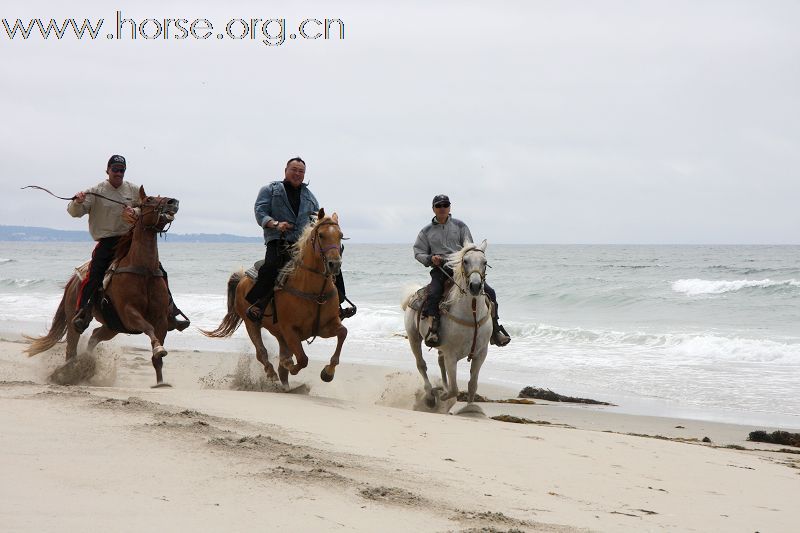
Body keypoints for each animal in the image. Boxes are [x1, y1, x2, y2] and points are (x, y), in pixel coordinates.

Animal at [26, 187, 181, 386]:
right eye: (149, 199)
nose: (173, 202)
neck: (143, 270)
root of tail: (73, 282)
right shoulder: (129, 313)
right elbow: (148, 328)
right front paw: (159, 349)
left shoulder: (161, 318)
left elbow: (157, 353)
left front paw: (161, 382)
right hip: (76, 321)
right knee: (72, 347)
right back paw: (68, 372)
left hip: (112, 327)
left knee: (94, 337)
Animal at [202, 208, 346, 386]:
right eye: (321, 235)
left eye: (340, 235)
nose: (335, 264)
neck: (314, 292)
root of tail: (242, 278)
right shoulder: (290, 330)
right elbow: (302, 359)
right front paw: (288, 364)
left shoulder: (324, 327)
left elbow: (343, 333)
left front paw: (328, 372)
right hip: (251, 323)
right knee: (261, 352)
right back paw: (271, 373)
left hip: (277, 332)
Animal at [400, 241, 494, 416]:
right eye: (465, 261)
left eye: (484, 262)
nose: (475, 286)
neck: (472, 314)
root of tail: (412, 295)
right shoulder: (451, 354)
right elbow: (454, 390)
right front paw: (442, 395)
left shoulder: (481, 353)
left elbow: (472, 384)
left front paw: (471, 409)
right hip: (413, 337)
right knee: (421, 364)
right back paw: (430, 397)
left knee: (439, 362)